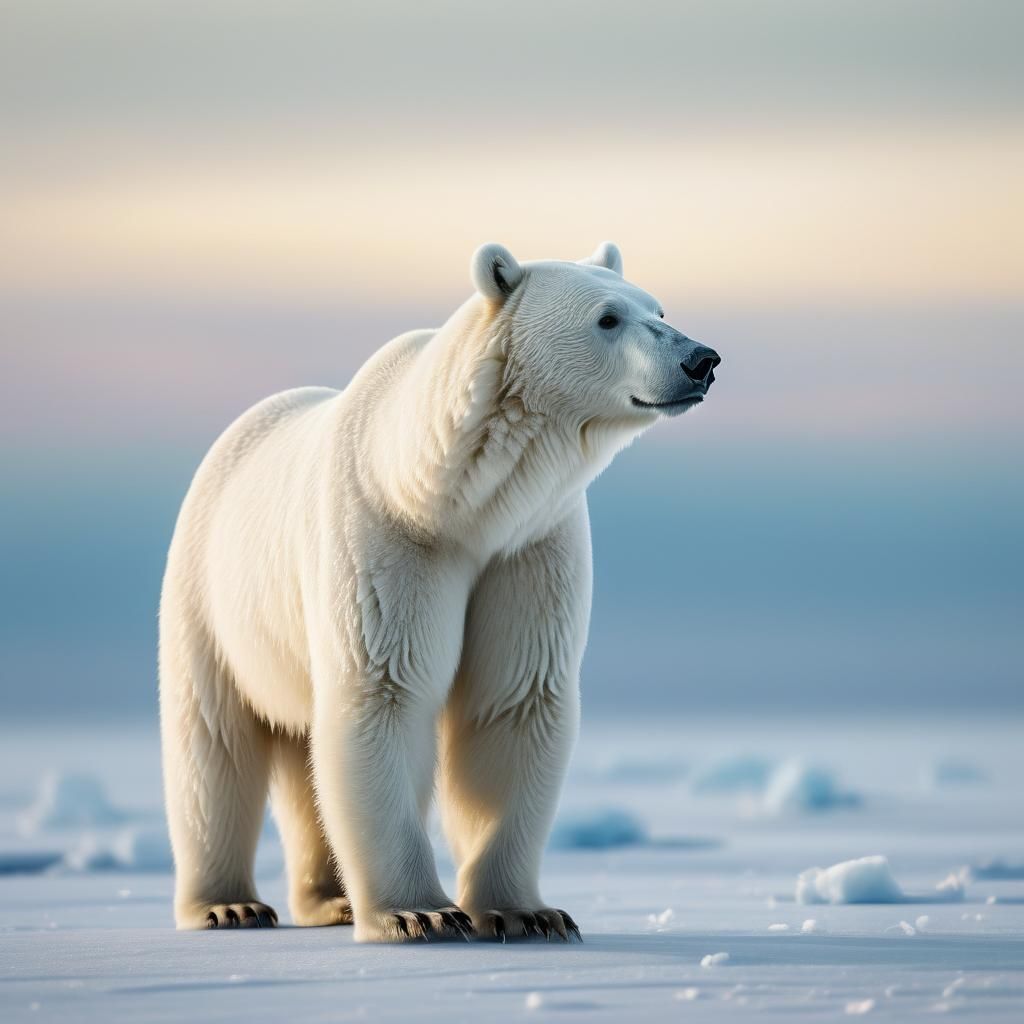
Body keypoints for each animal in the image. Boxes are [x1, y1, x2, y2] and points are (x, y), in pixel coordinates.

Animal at [159, 241, 720, 941]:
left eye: (659, 309)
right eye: (608, 318)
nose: (701, 359)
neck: (449, 497)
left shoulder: (529, 548)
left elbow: (513, 699)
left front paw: (527, 912)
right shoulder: (388, 539)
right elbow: (385, 689)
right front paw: (419, 912)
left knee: (297, 747)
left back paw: (328, 900)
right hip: (208, 594)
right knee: (213, 743)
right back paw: (228, 905)